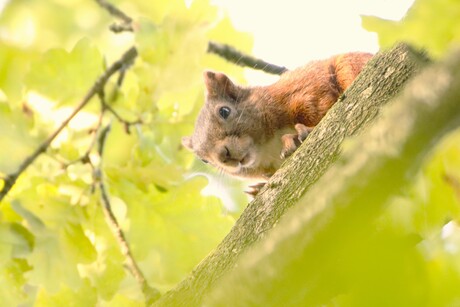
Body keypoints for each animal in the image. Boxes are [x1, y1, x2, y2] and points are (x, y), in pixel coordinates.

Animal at [181, 51, 372, 194]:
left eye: (224, 111)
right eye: (203, 159)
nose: (223, 155)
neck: (266, 146)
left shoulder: (306, 90)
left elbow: (322, 107)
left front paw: (301, 132)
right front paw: (259, 188)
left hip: (349, 63)